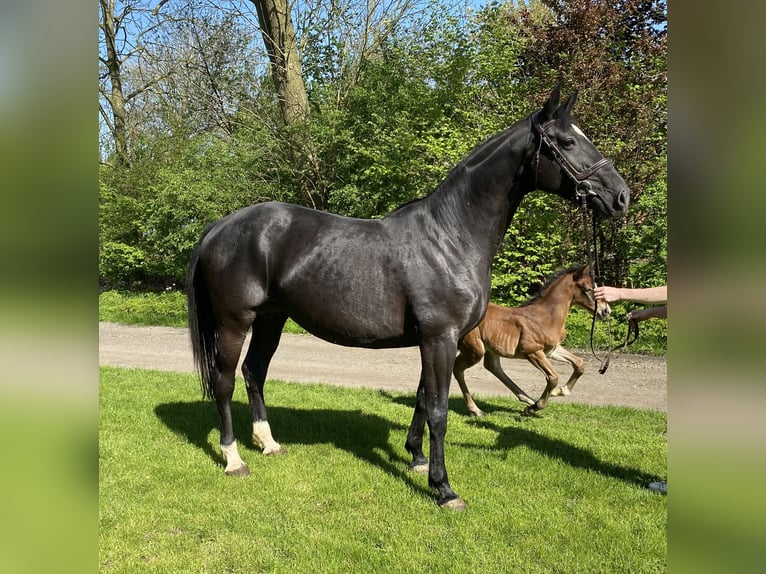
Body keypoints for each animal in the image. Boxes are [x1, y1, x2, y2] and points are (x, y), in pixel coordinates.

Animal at [186, 85, 632, 508]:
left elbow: (421, 398)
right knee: (225, 380)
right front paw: (444, 488)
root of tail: (220, 227)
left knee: (254, 373)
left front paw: (416, 459)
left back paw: (268, 443)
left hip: (271, 318)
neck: (450, 237)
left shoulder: (432, 340)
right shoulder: (440, 337)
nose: (621, 196)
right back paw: (233, 459)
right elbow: (438, 409)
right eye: (567, 142)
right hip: (234, 322)